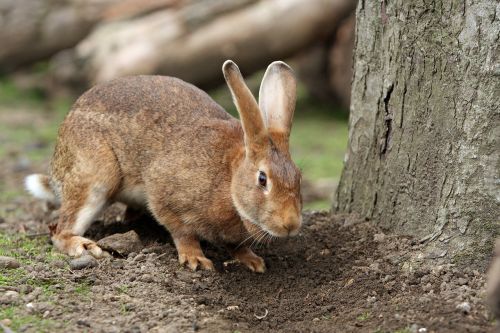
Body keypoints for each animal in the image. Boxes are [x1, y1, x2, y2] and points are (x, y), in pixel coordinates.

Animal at [25, 59, 300, 272]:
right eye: (262, 179)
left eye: (298, 177)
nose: (291, 225)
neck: (230, 177)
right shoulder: (165, 194)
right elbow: (182, 231)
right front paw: (196, 259)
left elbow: (236, 246)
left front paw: (253, 261)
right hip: (95, 176)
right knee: (60, 231)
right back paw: (83, 246)